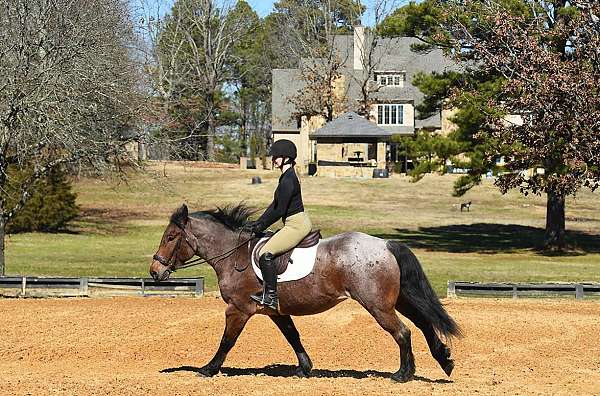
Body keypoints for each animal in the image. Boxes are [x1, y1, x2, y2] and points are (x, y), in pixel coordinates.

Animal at [149, 203, 460, 382]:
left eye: (171, 237)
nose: (154, 272)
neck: (233, 255)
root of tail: (385, 244)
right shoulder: (275, 310)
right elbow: (293, 336)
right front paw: (304, 368)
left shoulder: (238, 309)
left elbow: (227, 341)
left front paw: (208, 369)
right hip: (398, 299)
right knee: (423, 323)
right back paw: (444, 360)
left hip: (378, 305)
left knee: (403, 332)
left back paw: (403, 375)